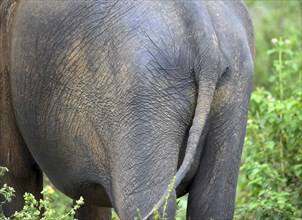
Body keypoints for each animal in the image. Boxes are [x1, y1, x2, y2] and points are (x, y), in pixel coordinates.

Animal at [0, 0, 255, 219]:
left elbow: (15, 171)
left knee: (144, 205)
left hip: (142, 92)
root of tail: (206, 40)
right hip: (236, 82)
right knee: (213, 202)